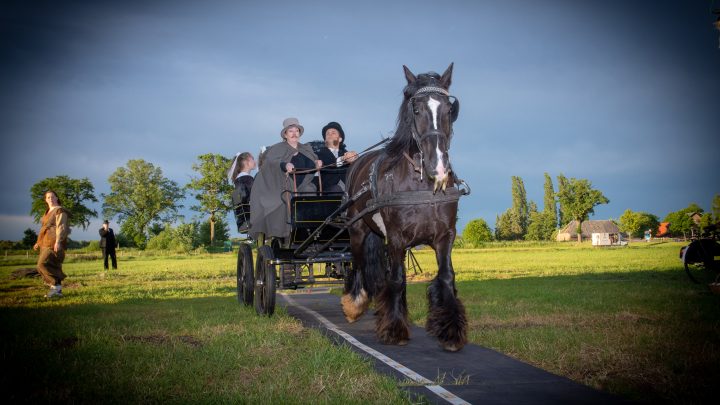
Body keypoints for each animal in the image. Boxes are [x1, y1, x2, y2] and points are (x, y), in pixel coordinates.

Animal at [342, 63, 466, 350]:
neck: (422, 184)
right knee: (358, 263)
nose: (438, 167)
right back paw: (354, 305)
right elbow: (397, 279)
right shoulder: (397, 237)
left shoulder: (445, 235)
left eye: (448, 109)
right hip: (357, 230)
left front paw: (450, 331)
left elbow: (446, 276)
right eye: (416, 109)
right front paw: (394, 329)